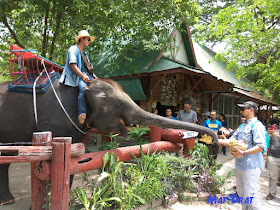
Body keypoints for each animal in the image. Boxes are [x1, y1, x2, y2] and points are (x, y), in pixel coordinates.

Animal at [0, 77, 217, 203]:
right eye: (119, 104)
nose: (214, 141)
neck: (83, 87)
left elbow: (72, 163)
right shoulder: (53, 124)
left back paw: (8, 200)